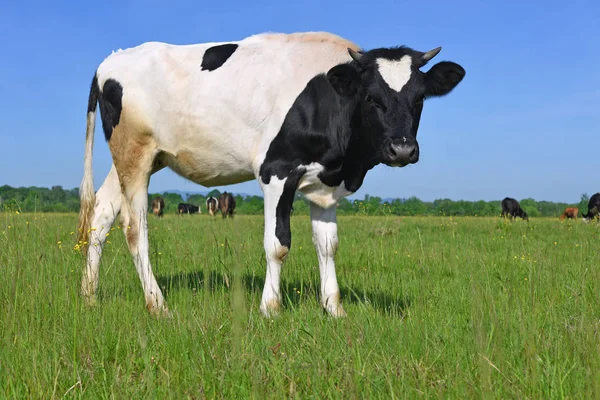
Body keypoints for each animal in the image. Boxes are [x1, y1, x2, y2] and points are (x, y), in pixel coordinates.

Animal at [77, 30, 466, 318]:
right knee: (134, 227)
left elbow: (328, 245)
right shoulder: (276, 171)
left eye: (419, 99)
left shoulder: (326, 184)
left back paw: (90, 295)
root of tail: (110, 60)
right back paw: (157, 305)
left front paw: (334, 309)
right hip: (135, 153)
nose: (402, 149)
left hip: (138, 158)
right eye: (371, 98)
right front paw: (270, 308)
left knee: (102, 212)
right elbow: (278, 244)